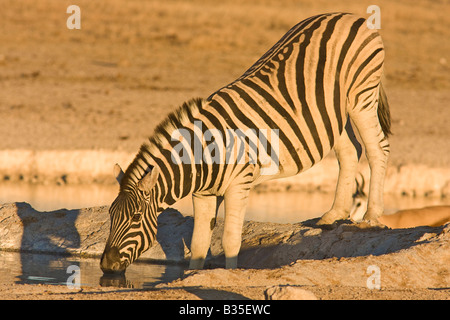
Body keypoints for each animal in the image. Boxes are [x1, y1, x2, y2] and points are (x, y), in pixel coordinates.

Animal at [101, 11, 390, 272]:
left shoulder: (239, 184)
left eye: (136, 217)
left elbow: (230, 242)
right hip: (331, 114)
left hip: (361, 97)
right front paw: (190, 276)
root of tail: (348, 16)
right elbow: (198, 245)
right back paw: (334, 215)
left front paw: (225, 276)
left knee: (378, 149)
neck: (203, 156)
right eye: (111, 214)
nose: (106, 265)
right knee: (351, 151)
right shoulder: (203, 194)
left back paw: (372, 217)